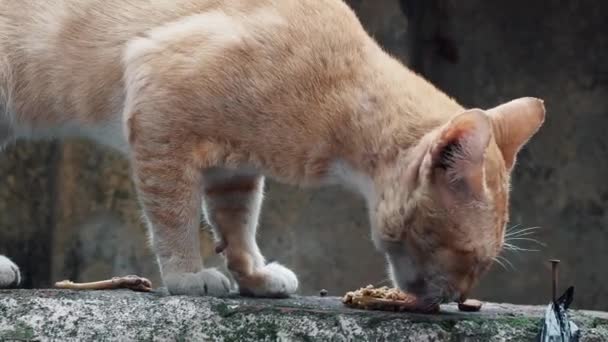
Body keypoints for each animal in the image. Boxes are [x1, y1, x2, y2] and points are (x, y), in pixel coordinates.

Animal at [0, 0, 544, 304]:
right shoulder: (160, 108)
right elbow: (173, 216)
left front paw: (254, 276)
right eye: (467, 254)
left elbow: (237, 223)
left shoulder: (234, 168)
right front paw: (188, 275)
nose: (458, 299)